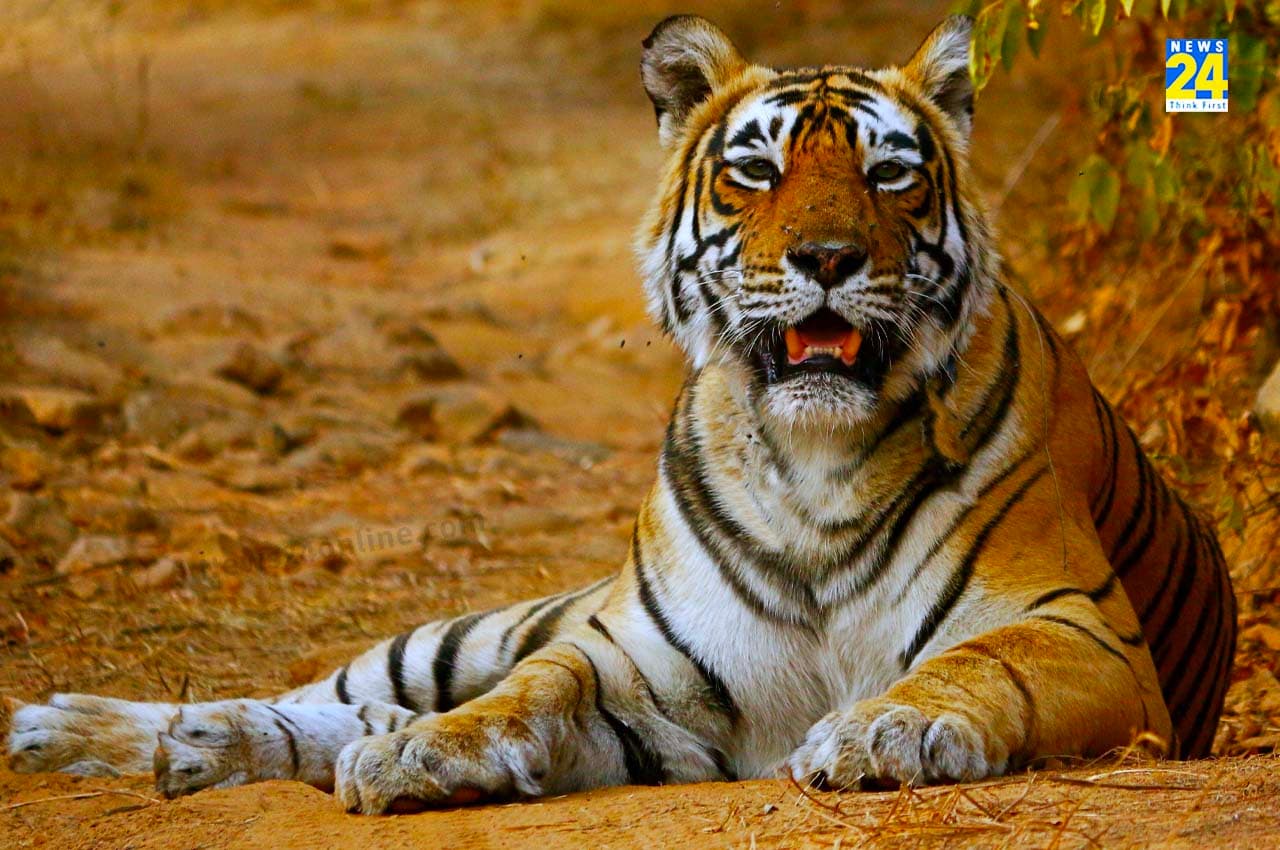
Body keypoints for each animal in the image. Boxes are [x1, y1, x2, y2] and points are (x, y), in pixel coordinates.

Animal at [7, 15, 1235, 813]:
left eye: (890, 175)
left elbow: (974, 666)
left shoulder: (1083, 628)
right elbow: (534, 690)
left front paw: (882, 728)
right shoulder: (636, 659)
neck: (813, 460)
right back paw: (99, 730)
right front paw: (429, 753)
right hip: (470, 628)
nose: (826, 257)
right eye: (756, 170)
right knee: (333, 695)